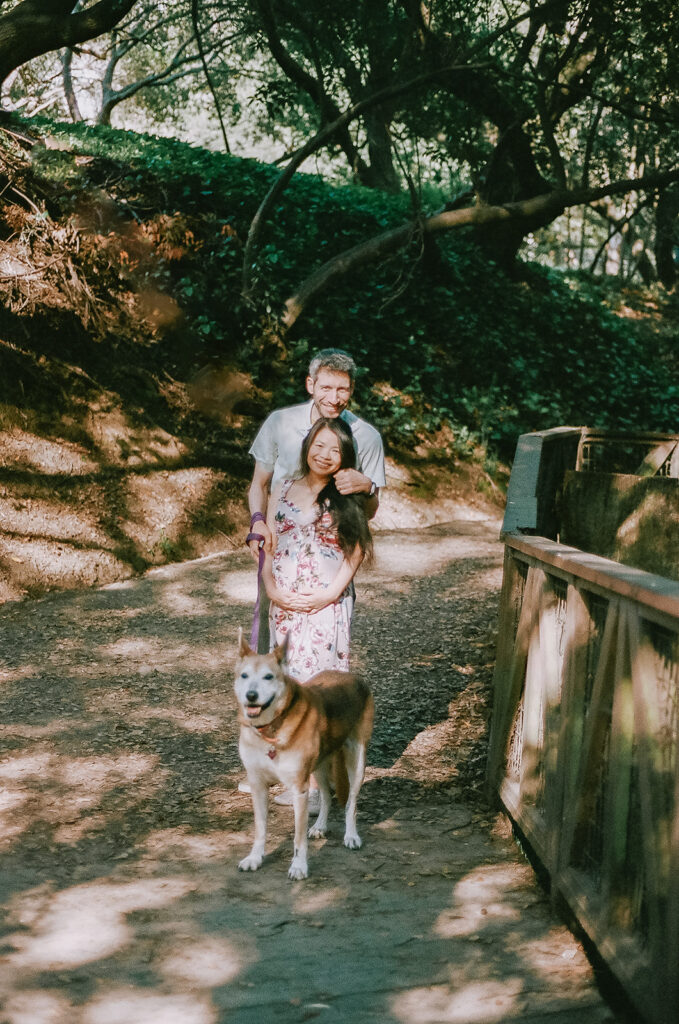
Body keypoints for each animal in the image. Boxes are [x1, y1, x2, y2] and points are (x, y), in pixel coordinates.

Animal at [232, 622, 372, 880]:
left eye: (269, 676)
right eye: (244, 675)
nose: (251, 696)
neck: (271, 729)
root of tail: (351, 676)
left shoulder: (299, 790)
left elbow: (297, 837)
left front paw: (299, 866)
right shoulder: (258, 785)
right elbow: (260, 829)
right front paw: (255, 858)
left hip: (356, 761)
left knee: (351, 803)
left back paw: (351, 835)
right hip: (319, 766)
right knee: (326, 795)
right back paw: (320, 826)